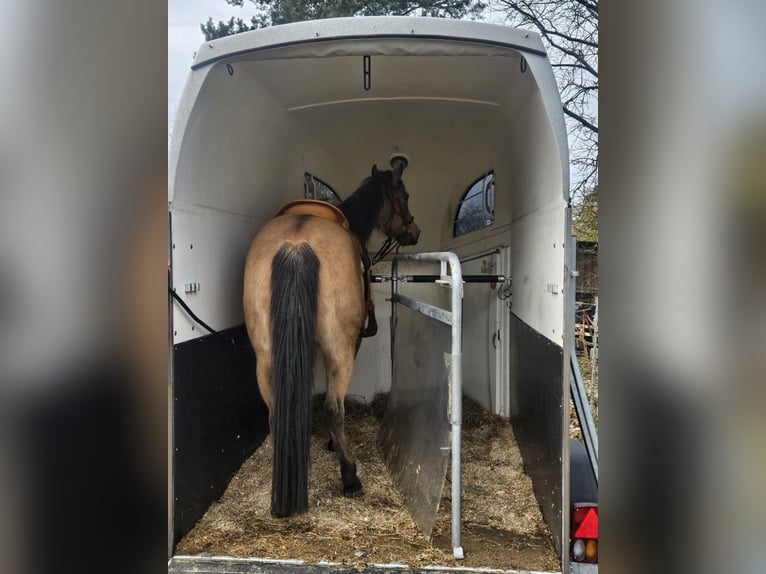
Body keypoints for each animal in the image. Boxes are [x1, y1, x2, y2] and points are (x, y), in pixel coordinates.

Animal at [243, 163, 420, 518]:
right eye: (404, 195)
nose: (415, 231)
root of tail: (295, 244)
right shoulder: (350, 345)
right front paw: (332, 445)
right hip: (340, 349)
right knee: (332, 408)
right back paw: (350, 476)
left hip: (265, 354)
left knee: (275, 410)